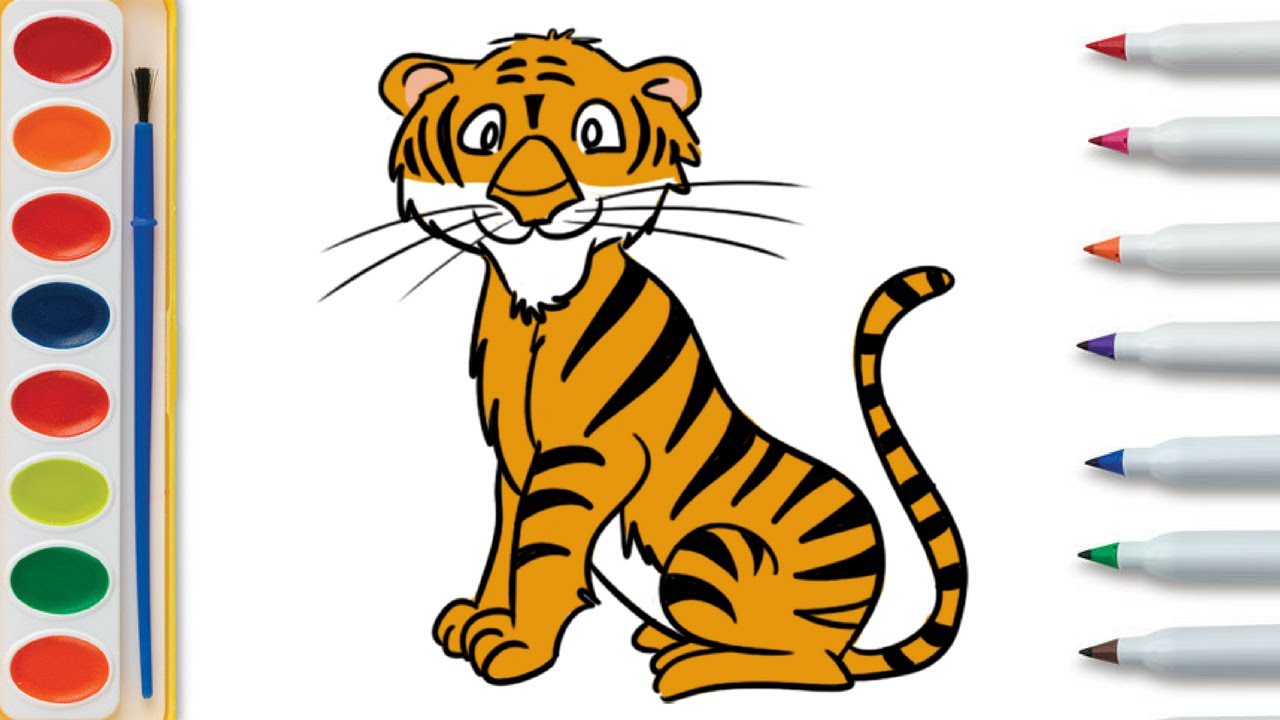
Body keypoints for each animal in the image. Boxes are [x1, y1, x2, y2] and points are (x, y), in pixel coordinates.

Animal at [377, 30, 968, 700]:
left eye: (594, 132)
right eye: (485, 134)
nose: (533, 202)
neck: (536, 301)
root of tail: (854, 630)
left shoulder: (587, 457)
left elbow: (542, 552)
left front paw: (519, 648)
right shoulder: (513, 458)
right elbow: (505, 542)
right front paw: (480, 619)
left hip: (712, 553)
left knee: (818, 668)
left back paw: (689, 668)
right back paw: (664, 641)